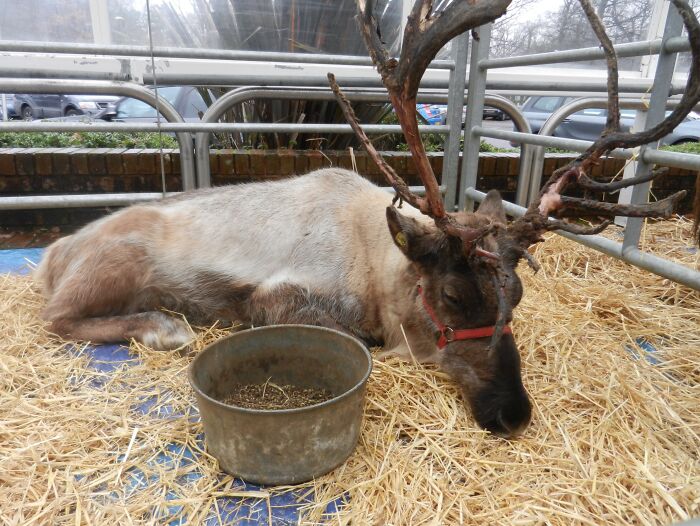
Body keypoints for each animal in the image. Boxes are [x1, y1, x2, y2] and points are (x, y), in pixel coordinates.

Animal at [36, 0, 700, 439]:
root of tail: (51, 254)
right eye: (452, 295)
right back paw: (162, 326)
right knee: (57, 318)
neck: (376, 263)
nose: (512, 413)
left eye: (518, 294)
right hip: (114, 263)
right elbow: (360, 339)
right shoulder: (274, 299)